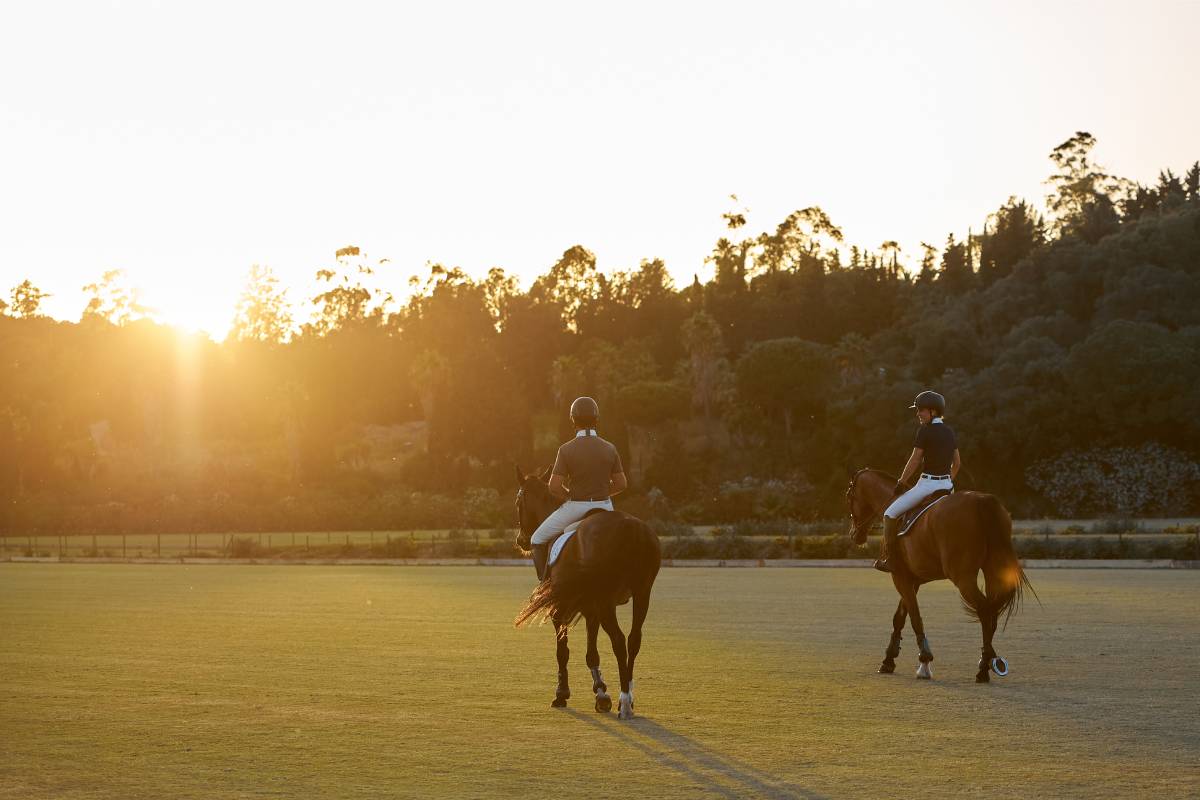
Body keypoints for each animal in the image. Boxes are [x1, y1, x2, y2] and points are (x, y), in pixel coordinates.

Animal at [511, 465, 662, 724]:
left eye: (519, 500)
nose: (522, 540)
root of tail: (631, 529)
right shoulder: (590, 607)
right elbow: (592, 653)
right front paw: (601, 693)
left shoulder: (561, 605)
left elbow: (563, 651)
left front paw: (561, 694)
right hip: (642, 593)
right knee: (634, 639)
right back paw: (628, 697)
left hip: (606, 599)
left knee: (619, 640)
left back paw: (625, 702)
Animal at [849, 470, 1036, 681]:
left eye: (849, 496)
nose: (855, 535)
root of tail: (982, 501)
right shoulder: (912, 579)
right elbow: (900, 616)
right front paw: (889, 660)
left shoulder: (899, 576)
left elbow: (914, 616)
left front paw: (924, 660)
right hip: (993, 571)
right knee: (992, 610)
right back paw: (987, 661)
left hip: (963, 578)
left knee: (984, 609)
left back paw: (985, 666)